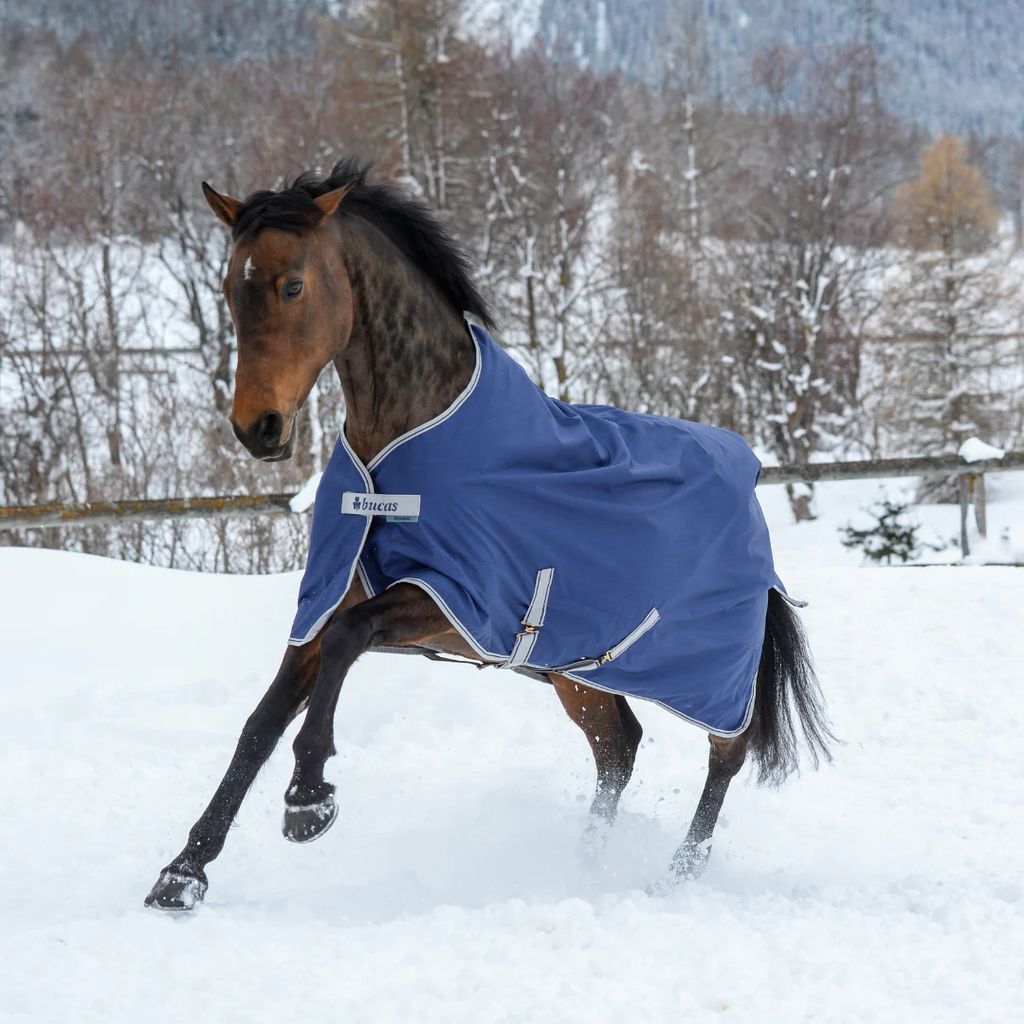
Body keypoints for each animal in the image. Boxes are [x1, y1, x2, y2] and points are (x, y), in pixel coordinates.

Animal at [145, 158, 832, 912]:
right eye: (228, 288)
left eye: (291, 284)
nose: (257, 428)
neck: (397, 455)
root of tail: (748, 476)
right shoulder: (328, 604)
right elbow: (260, 724)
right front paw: (183, 874)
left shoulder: (450, 601)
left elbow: (347, 645)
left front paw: (308, 800)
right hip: (577, 673)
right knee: (618, 748)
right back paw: (582, 867)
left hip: (711, 671)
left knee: (726, 754)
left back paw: (675, 874)